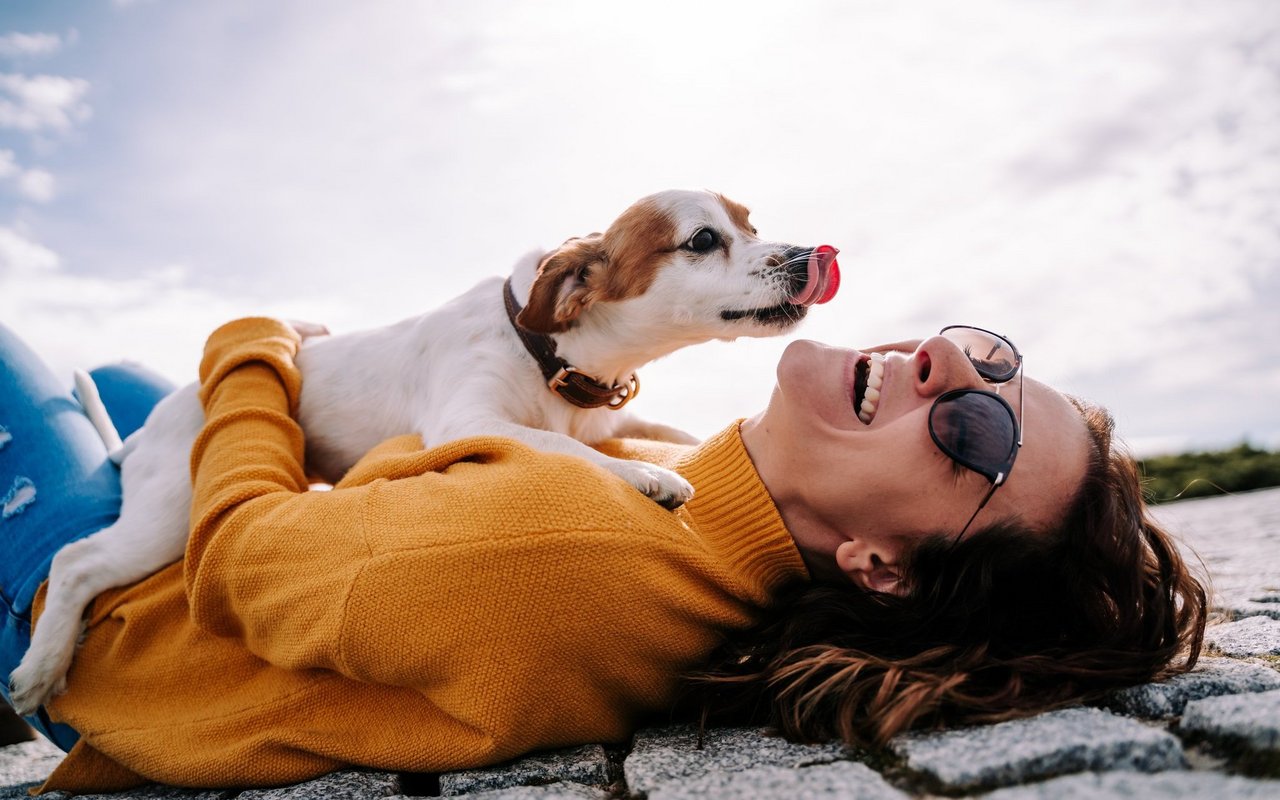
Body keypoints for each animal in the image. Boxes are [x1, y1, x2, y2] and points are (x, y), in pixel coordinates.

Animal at [7, 190, 839, 716]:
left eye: (752, 223)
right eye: (702, 240)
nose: (810, 255)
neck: (549, 352)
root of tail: (150, 427)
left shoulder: (601, 417)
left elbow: (657, 433)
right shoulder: (467, 418)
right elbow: (557, 447)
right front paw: (646, 475)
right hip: (169, 515)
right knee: (72, 562)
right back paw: (40, 670)